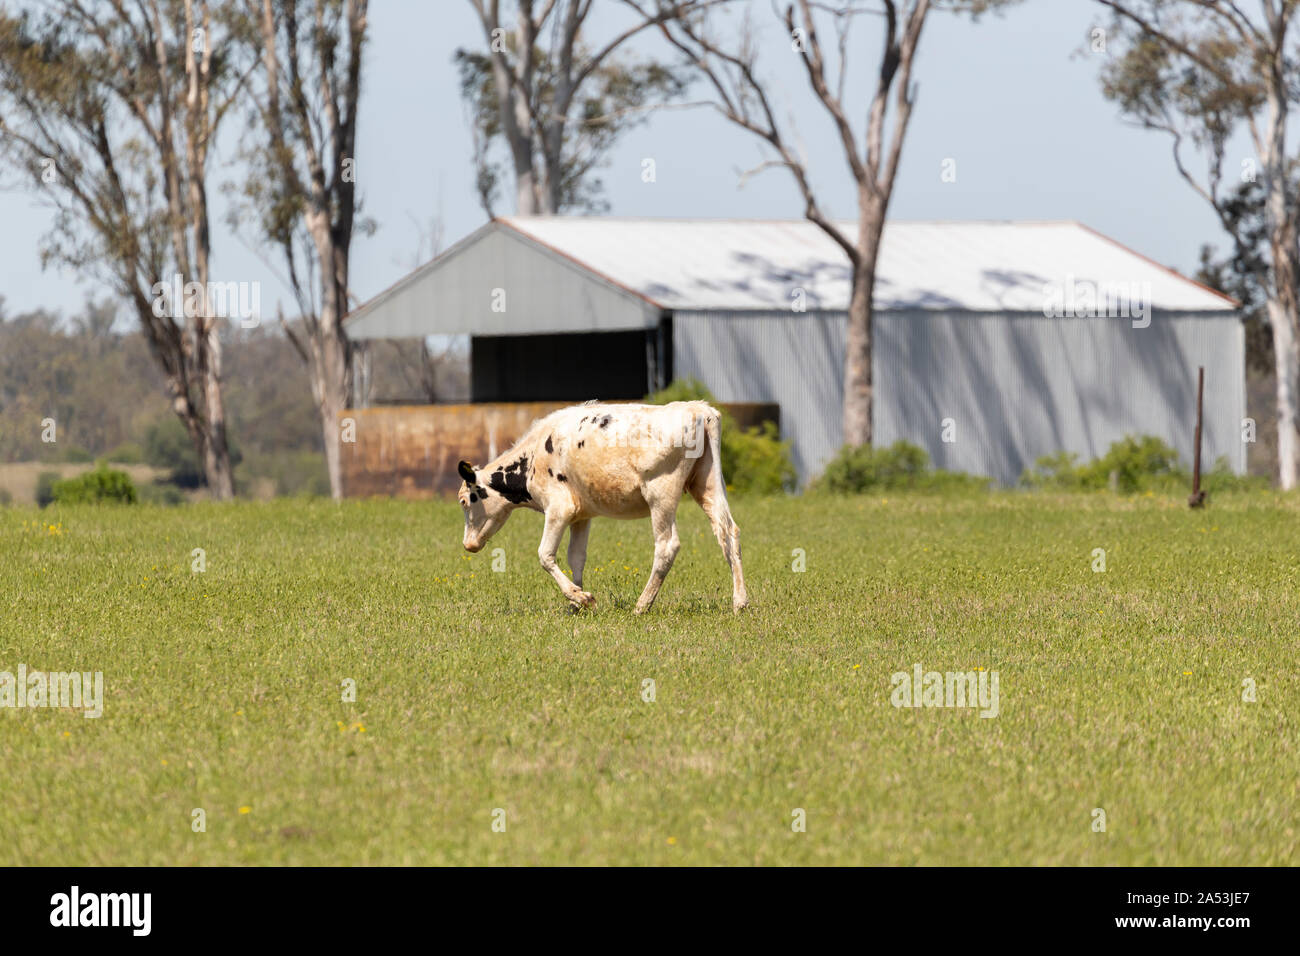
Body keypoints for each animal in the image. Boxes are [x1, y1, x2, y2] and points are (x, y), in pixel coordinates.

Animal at [456, 400, 748, 614]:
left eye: (465, 501)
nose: (468, 545)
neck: (533, 458)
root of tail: (698, 409)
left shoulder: (558, 508)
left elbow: (545, 555)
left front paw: (581, 598)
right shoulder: (580, 515)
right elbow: (576, 557)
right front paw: (576, 603)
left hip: (661, 495)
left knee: (667, 546)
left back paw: (642, 605)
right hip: (707, 484)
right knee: (728, 532)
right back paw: (740, 601)